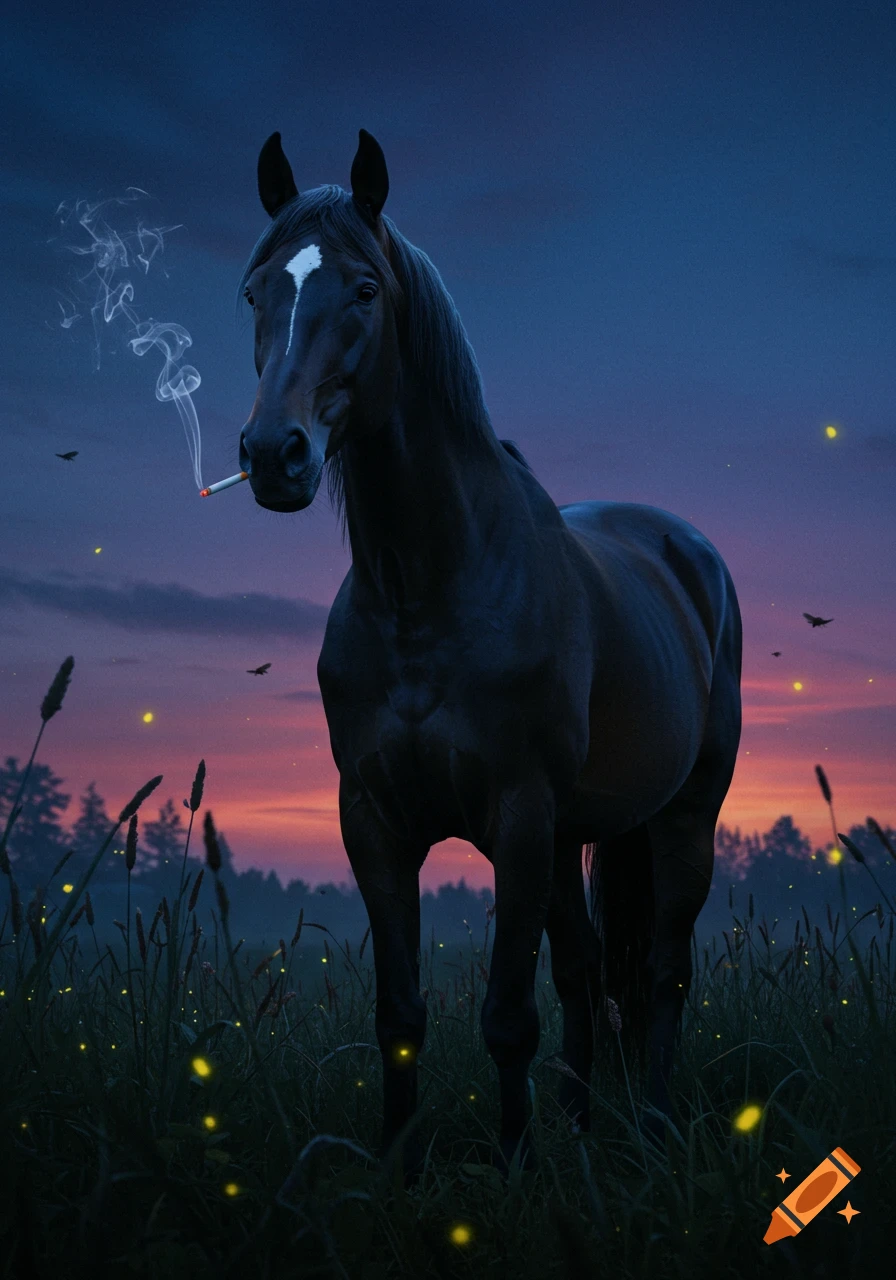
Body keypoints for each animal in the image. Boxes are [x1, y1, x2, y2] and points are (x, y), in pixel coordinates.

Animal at [236, 128, 742, 1176]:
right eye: (254, 290)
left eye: (364, 288)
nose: (274, 455)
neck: (427, 592)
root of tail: (689, 552)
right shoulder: (374, 823)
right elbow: (400, 1013)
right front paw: (398, 1162)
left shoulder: (517, 815)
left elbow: (509, 1014)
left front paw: (511, 1168)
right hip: (575, 835)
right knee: (589, 973)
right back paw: (584, 1127)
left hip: (681, 817)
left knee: (663, 973)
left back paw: (654, 1128)